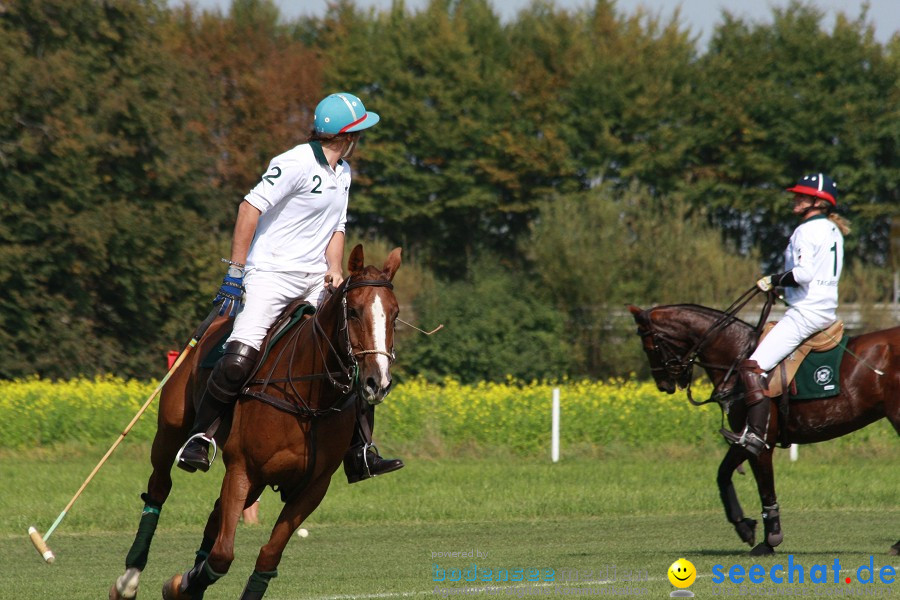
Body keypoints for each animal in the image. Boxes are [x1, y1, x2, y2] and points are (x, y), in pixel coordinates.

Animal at [109, 245, 400, 600]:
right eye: (355, 312)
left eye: (395, 314)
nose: (377, 382)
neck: (309, 398)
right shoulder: (242, 469)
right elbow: (222, 555)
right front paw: (180, 584)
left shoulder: (314, 486)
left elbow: (267, 557)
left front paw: (183, 584)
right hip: (171, 430)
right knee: (160, 487)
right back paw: (128, 579)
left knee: (215, 514)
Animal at [624, 304, 900, 556]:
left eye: (649, 345)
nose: (664, 385)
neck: (734, 356)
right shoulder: (743, 438)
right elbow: (723, 474)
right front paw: (745, 527)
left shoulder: (759, 440)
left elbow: (763, 488)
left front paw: (768, 540)